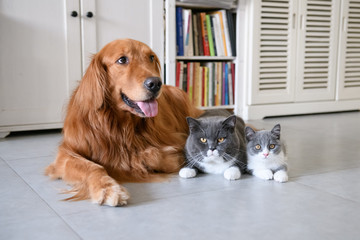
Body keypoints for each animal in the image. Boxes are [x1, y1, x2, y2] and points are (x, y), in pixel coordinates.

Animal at [45, 38, 202, 205]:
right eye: (122, 60)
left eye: (151, 57)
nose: (156, 83)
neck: (119, 124)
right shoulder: (65, 154)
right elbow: (92, 167)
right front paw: (107, 188)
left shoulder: (175, 140)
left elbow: (155, 156)